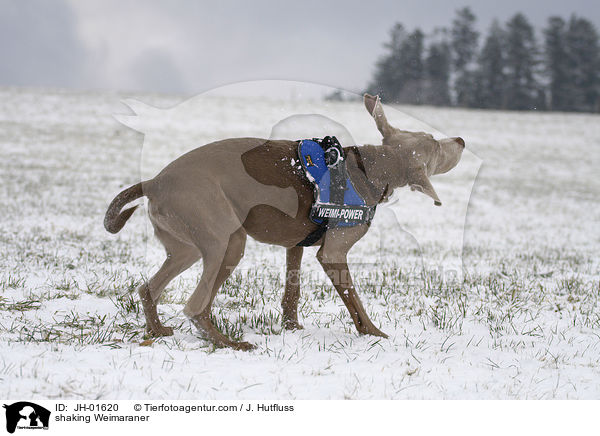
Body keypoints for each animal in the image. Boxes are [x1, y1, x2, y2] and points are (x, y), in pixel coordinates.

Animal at [105, 93, 466, 350]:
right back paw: (228, 344)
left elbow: (292, 290)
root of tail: (154, 182)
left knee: (148, 288)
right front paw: (375, 335)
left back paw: (157, 330)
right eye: (435, 146)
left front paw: (292, 328)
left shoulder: (297, 245)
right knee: (196, 306)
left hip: (187, 247)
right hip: (226, 241)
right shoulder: (333, 254)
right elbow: (355, 301)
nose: (462, 140)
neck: (367, 168)